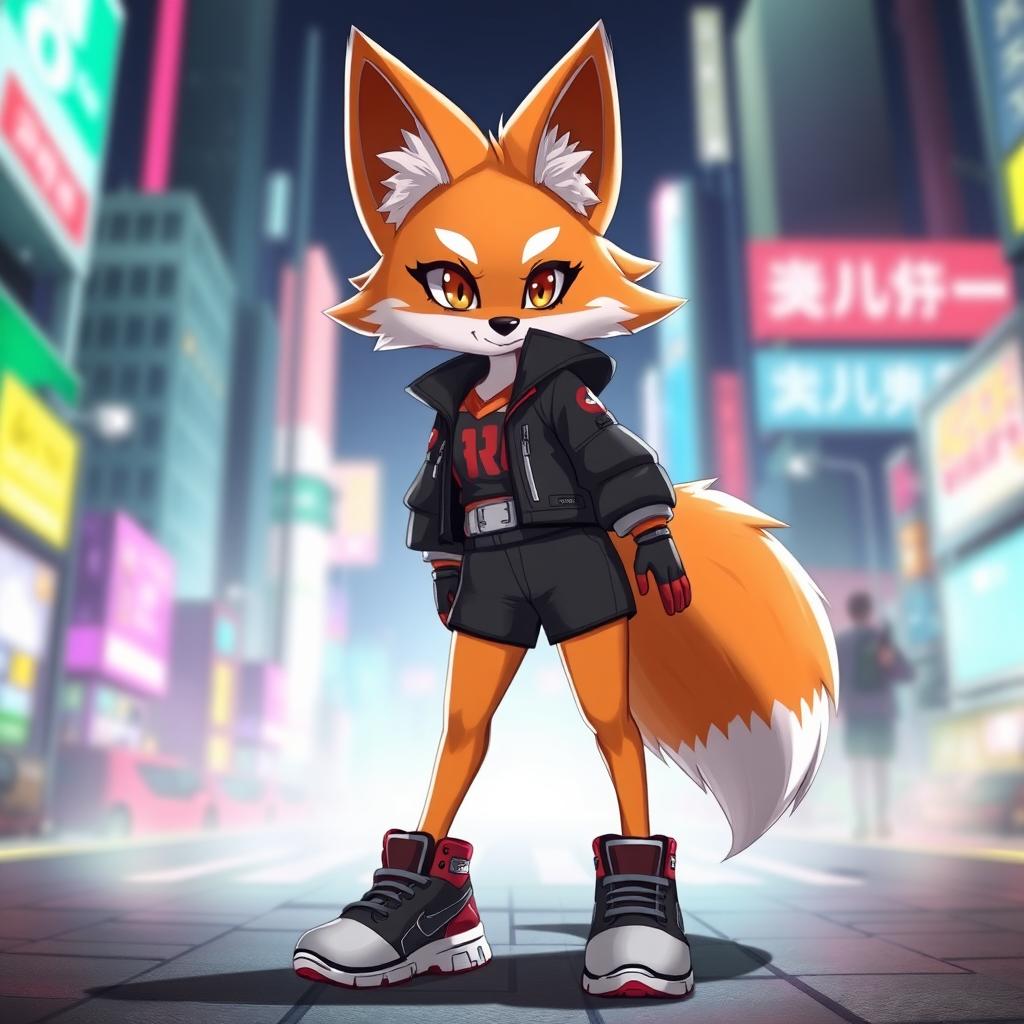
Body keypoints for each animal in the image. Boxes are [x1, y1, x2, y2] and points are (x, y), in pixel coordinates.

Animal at [293, 22, 838, 1000]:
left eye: (547, 284)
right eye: (452, 286)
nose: (507, 325)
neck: (503, 382)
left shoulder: (574, 419)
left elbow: (619, 472)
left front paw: (659, 549)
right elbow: (457, 697)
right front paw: (390, 913)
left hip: (589, 601)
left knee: (617, 734)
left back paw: (635, 935)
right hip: (500, 618)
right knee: (465, 733)